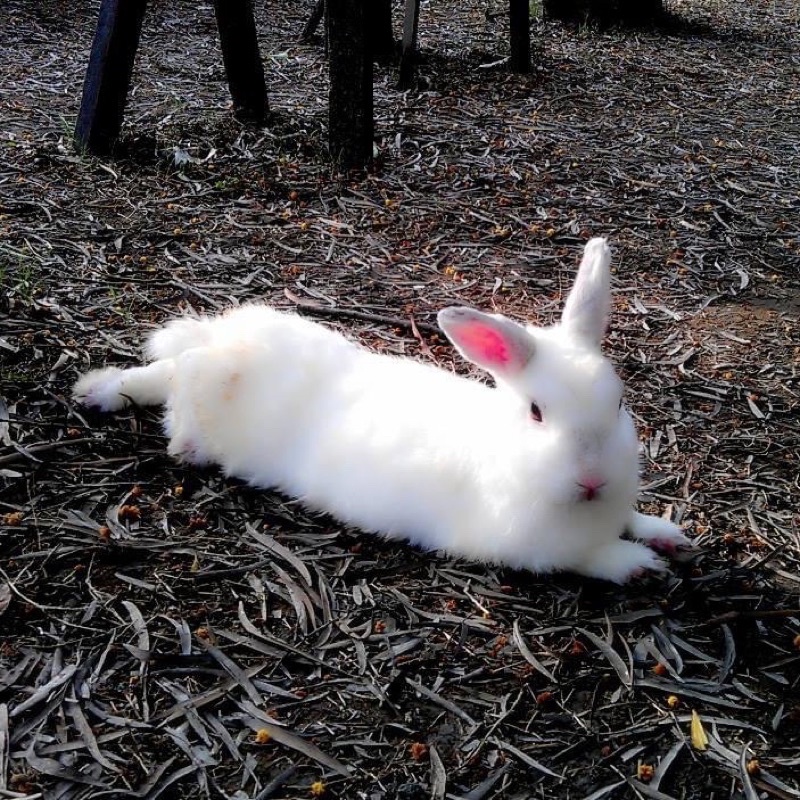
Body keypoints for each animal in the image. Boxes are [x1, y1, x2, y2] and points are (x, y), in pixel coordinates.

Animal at [72, 238, 692, 580]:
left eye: (619, 402)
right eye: (537, 413)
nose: (591, 481)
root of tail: (220, 343)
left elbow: (632, 522)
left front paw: (667, 535)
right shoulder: (524, 547)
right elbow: (585, 557)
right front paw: (638, 565)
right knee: (167, 379)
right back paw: (110, 397)